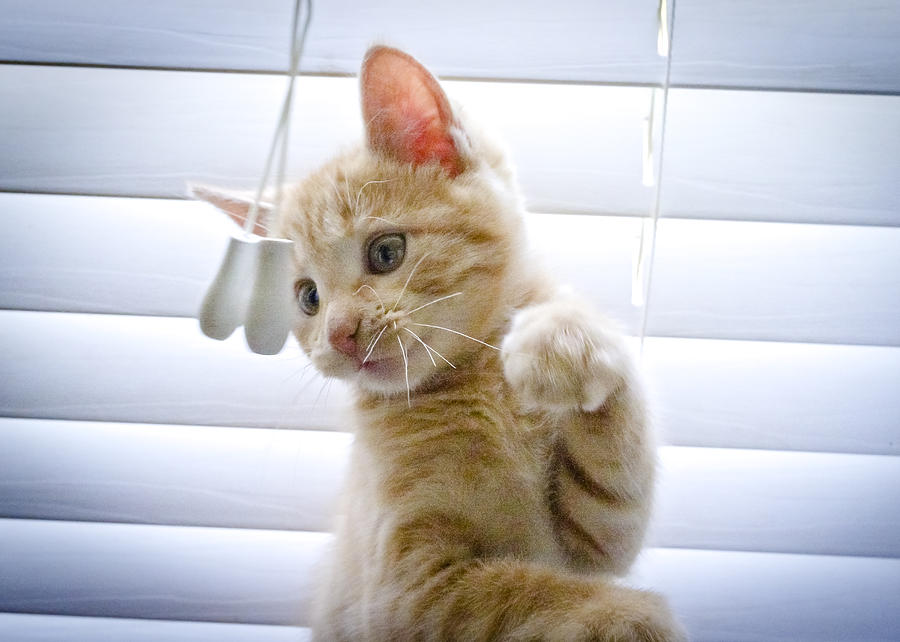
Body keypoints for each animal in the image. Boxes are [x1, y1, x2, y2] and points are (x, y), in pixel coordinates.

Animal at [199, 46, 688, 640]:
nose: (339, 334)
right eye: (308, 298)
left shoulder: (596, 539)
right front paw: (630, 617)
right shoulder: (400, 589)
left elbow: (617, 485)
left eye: (386, 252)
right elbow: (518, 596)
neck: (472, 386)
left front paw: (565, 342)